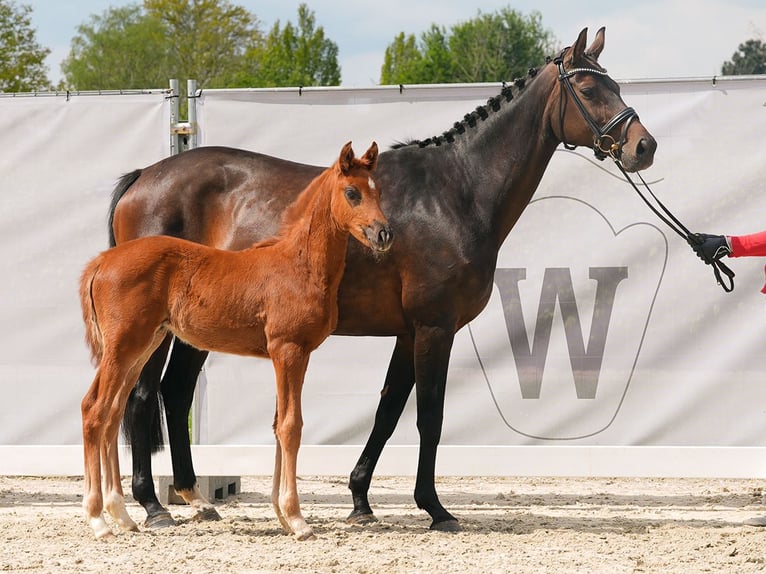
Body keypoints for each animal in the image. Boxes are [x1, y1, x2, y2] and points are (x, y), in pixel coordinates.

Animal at [109, 27, 660, 532]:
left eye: (614, 83)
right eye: (588, 88)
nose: (644, 146)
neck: (455, 193)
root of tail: (144, 177)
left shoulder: (409, 331)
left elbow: (389, 411)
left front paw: (360, 501)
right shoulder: (435, 328)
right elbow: (429, 417)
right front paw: (435, 509)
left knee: (176, 392)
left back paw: (194, 498)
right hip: (156, 327)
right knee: (141, 397)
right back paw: (153, 506)